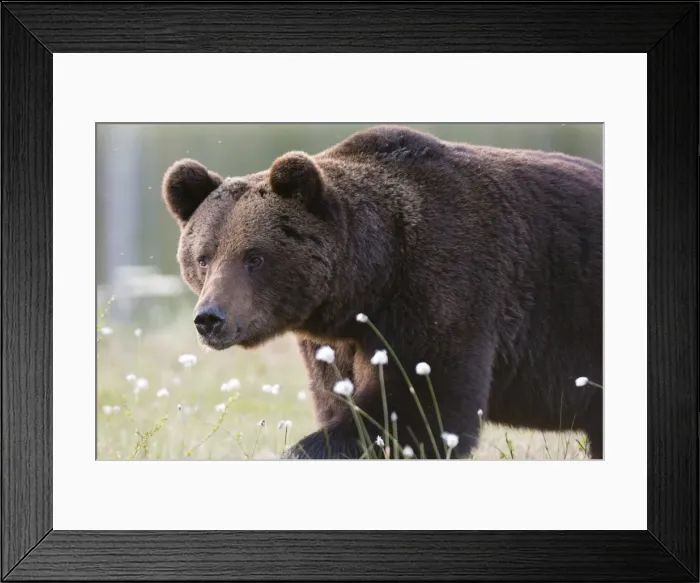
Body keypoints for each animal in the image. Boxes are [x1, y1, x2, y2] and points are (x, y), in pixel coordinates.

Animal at [161, 125, 603, 460]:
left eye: (254, 257)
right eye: (203, 257)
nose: (210, 318)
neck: (374, 278)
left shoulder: (444, 292)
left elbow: (419, 411)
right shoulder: (335, 345)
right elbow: (341, 400)